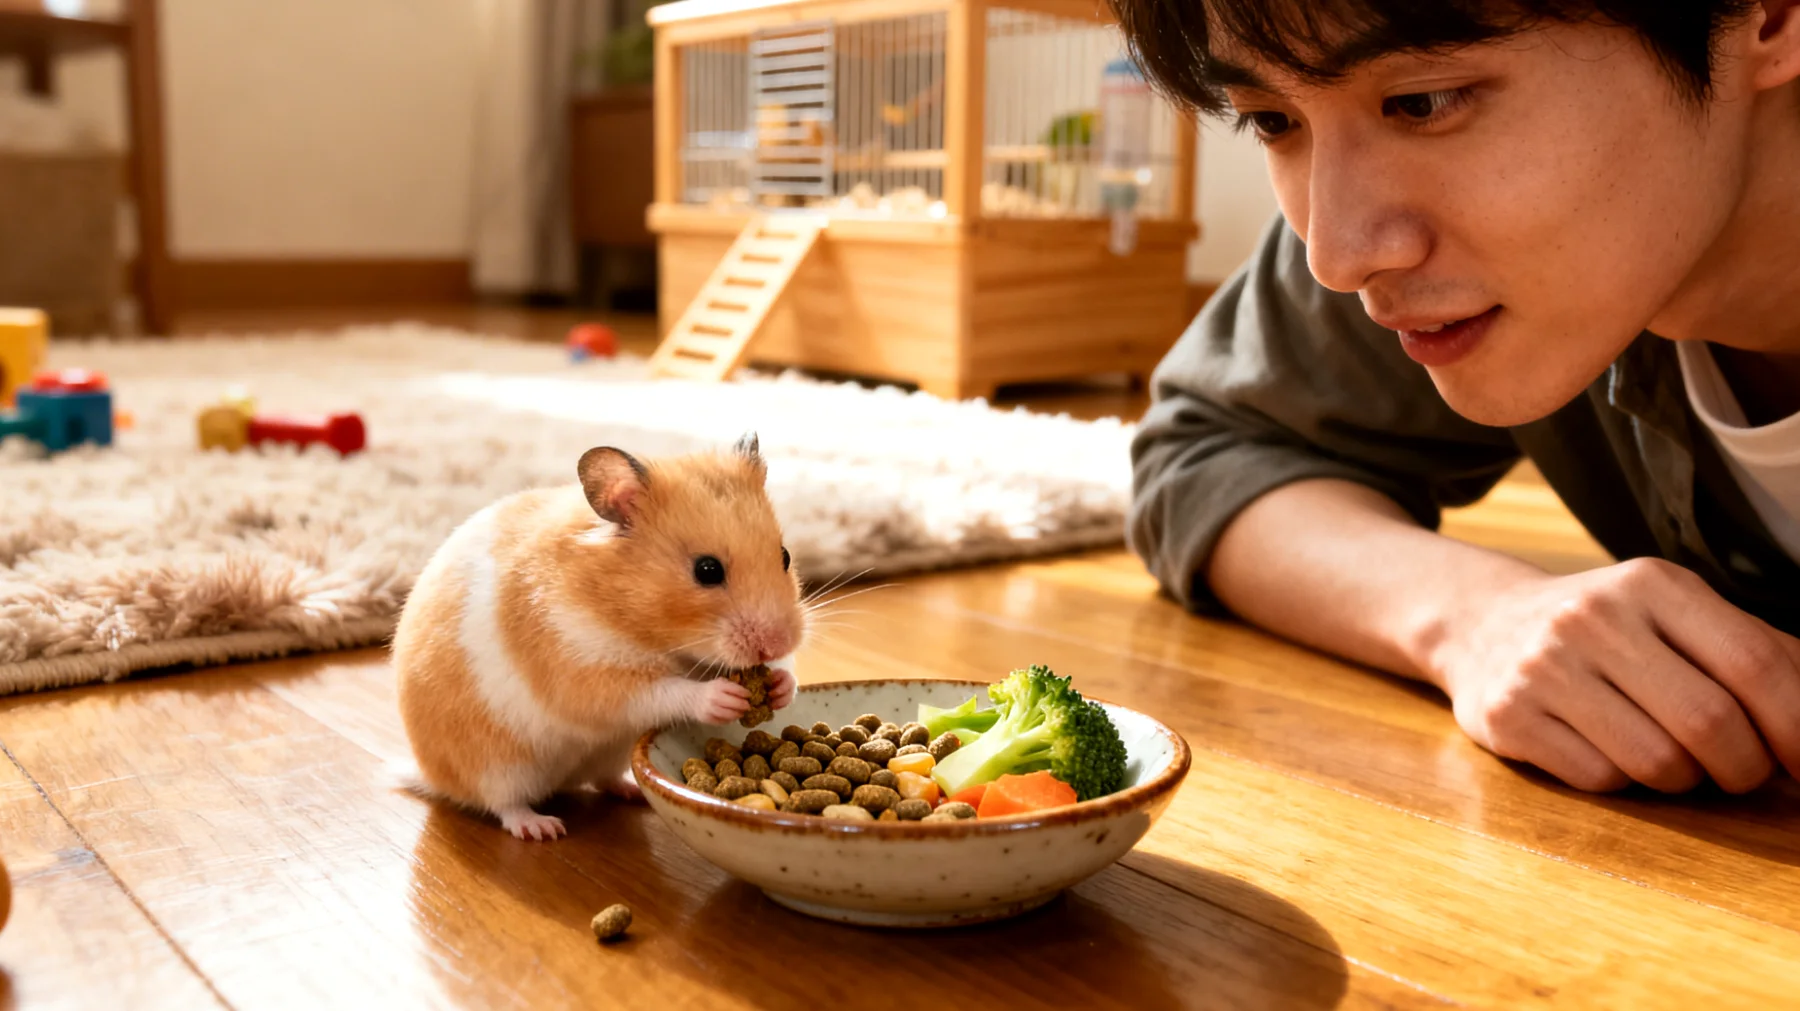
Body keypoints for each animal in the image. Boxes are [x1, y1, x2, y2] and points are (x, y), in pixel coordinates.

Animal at [392, 433, 804, 840]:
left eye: (785, 555)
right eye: (707, 570)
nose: (779, 643)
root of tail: (430, 776)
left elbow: (782, 675)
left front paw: (780, 686)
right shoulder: (585, 672)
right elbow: (664, 692)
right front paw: (723, 696)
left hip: (609, 754)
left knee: (603, 781)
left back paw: (632, 792)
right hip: (498, 768)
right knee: (504, 805)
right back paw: (543, 828)